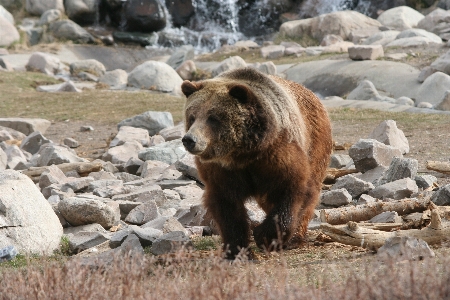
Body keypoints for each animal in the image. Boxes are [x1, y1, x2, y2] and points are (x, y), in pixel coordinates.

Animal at [181, 67, 332, 258]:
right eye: (192, 117)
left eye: (213, 118)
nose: (189, 139)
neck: (243, 154)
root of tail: (312, 94)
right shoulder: (221, 171)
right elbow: (227, 206)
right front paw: (237, 250)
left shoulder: (277, 154)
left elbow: (292, 189)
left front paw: (266, 236)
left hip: (315, 142)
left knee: (310, 191)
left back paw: (295, 238)